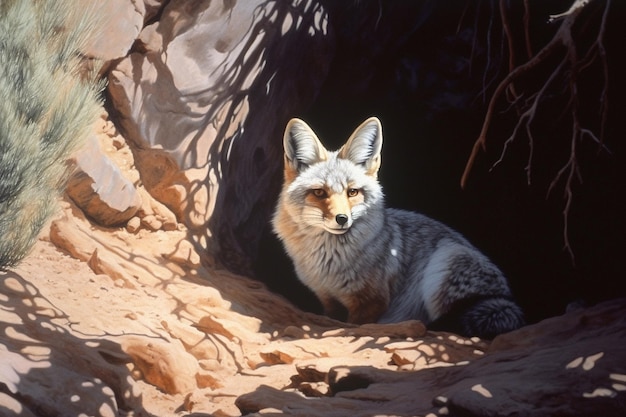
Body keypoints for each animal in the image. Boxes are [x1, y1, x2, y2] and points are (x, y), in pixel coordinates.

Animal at [270, 115, 524, 336]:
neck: (328, 263)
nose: (342, 219)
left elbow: (357, 324)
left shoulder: (371, 302)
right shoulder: (328, 300)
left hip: (444, 263)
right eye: (319, 193)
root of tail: (507, 298)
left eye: (352, 192)